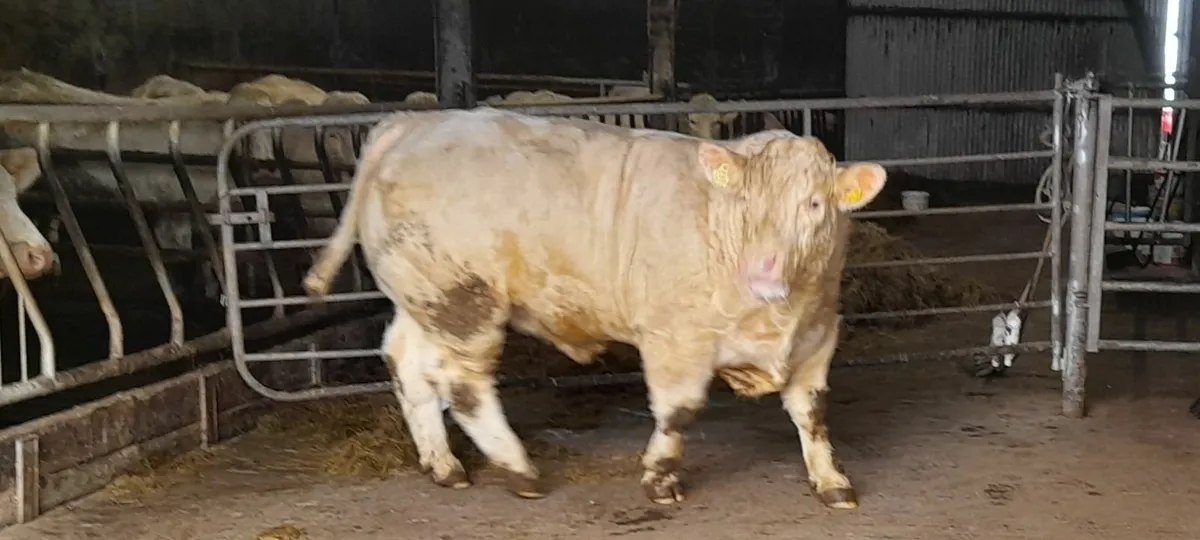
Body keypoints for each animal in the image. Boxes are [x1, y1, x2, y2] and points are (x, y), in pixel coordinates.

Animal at [302, 108, 887, 507]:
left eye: (814, 204)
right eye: (745, 205)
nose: (764, 268)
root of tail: (412, 124)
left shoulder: (818, 336)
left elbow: (812, 413)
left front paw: (832, 481)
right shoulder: (676, 341)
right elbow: (679, 412)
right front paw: (660, 478)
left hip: (425, 295)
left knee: (408, 364)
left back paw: (443, 465)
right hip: (463, 298)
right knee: (463, 384)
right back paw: (519, 470)